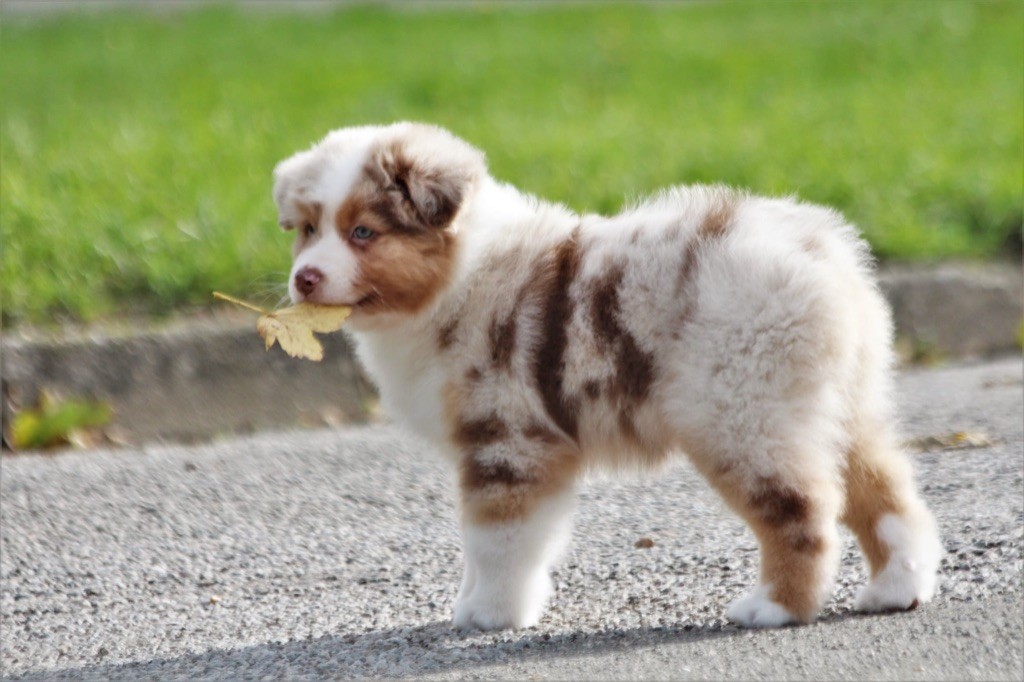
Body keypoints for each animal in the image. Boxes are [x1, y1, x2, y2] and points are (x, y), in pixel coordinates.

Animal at [272, 122, 941, 630]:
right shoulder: (519, 447)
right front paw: (479, 604)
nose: (304, 278)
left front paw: (490, 614)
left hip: (740, 411)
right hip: (838, 401)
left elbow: (495, 539)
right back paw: (897, 589)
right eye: (307, 229)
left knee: (802, 506)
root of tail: (819, 253)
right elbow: (500, 542)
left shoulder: (508, 439)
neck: (456, 275)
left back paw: (774, 608)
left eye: (363, 232)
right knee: (885, 491)